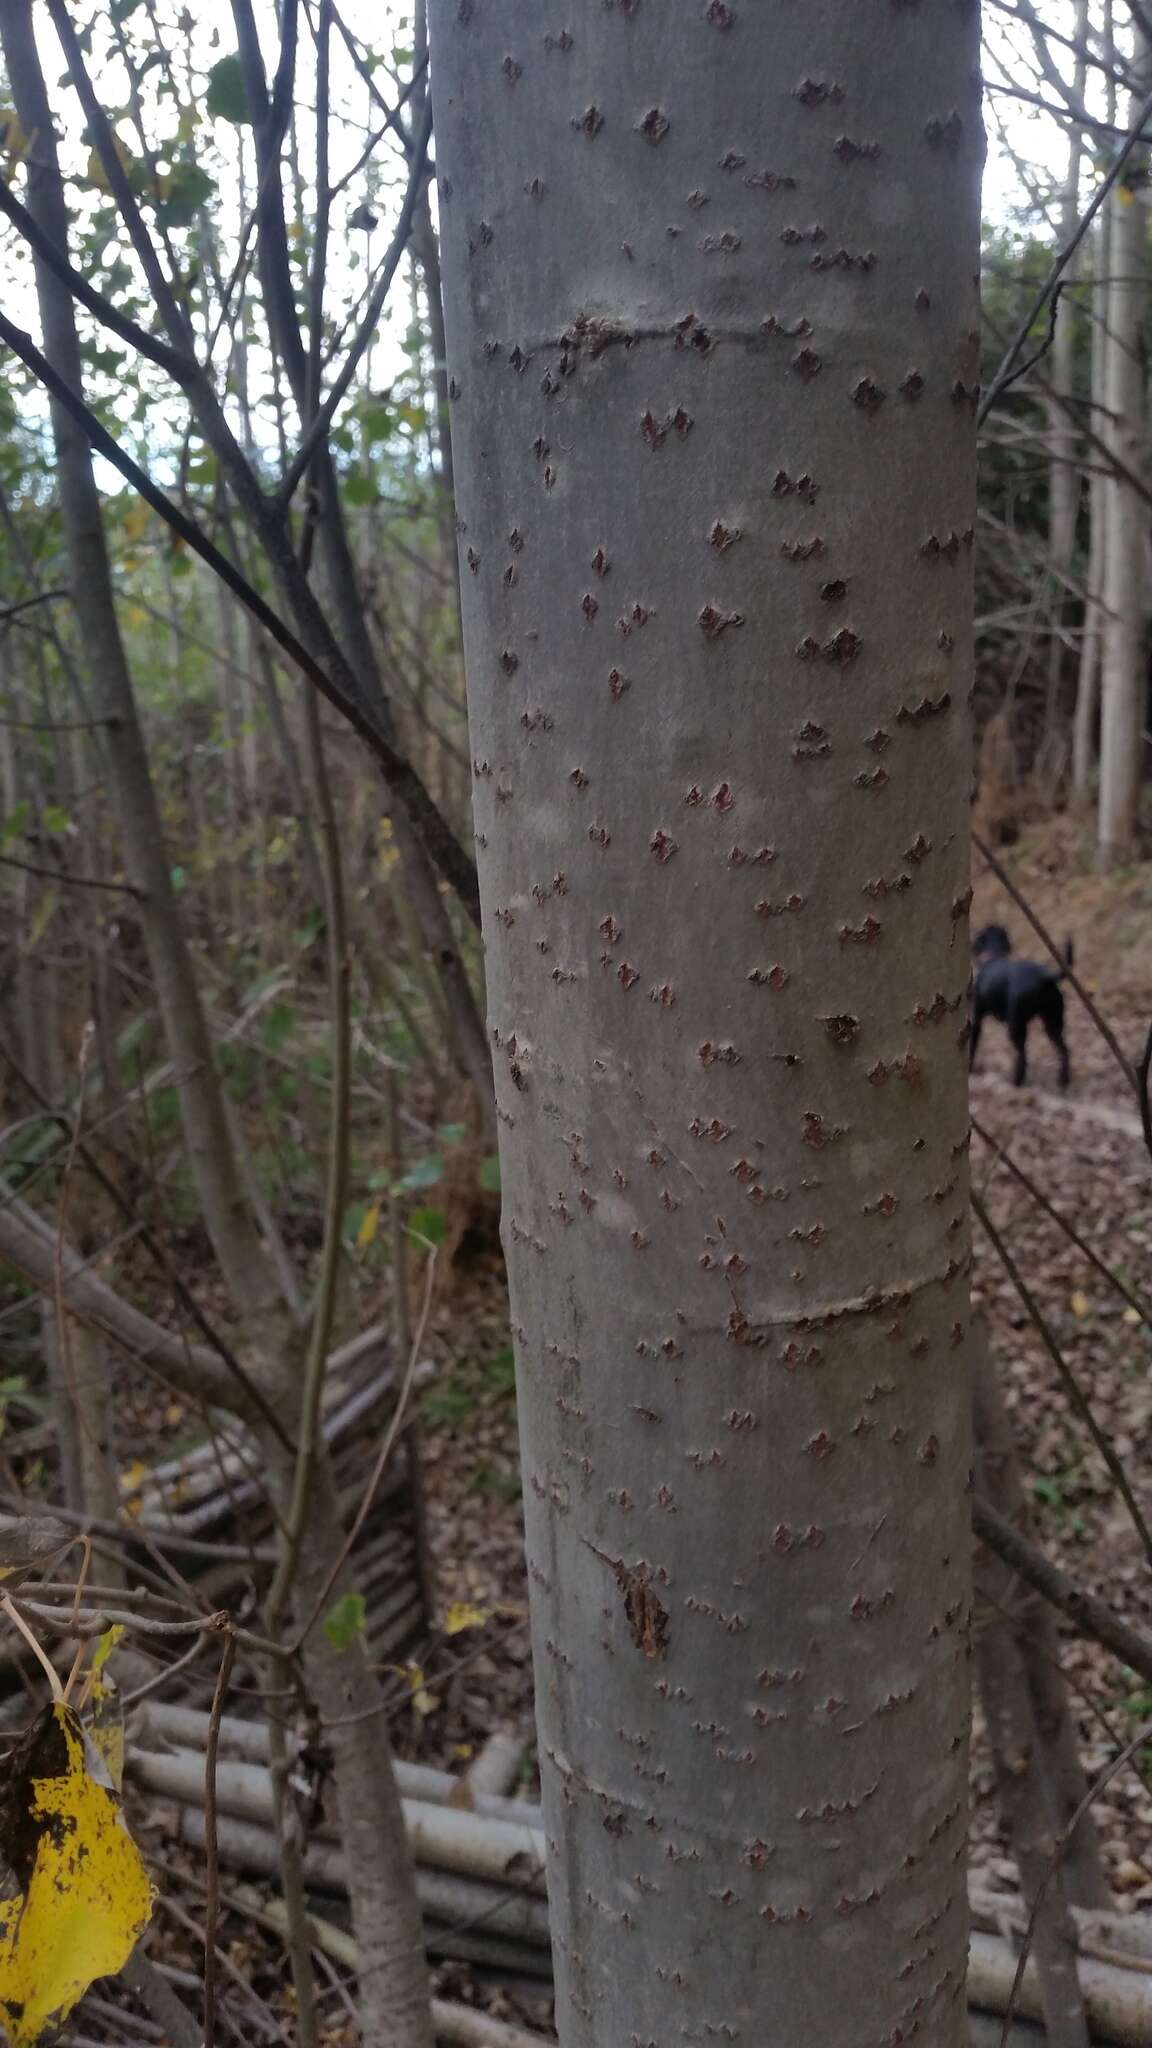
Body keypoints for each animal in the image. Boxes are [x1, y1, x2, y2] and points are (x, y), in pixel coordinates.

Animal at [963, 925, 1074, 1089]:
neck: (994, 957)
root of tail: (1044, 977)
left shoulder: (976, 1020)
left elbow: (973, 1047)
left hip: (1016, 1026)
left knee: (1022, 1056)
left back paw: (1016, 1081)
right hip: (1053, 1022)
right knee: (1064, 1050)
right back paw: (1063, 1080)